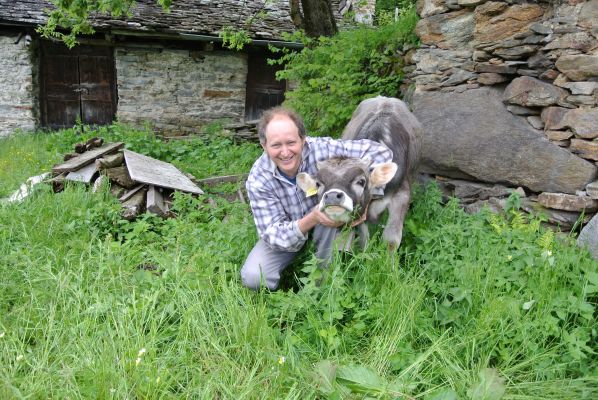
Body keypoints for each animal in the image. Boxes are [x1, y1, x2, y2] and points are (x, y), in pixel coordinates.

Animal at [298, 94, 422, 253]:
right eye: (318, 184)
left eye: (361, 181)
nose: (332, 196)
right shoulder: (362, 210)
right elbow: (364, 239)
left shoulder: (402, 195)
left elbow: (391, 240)